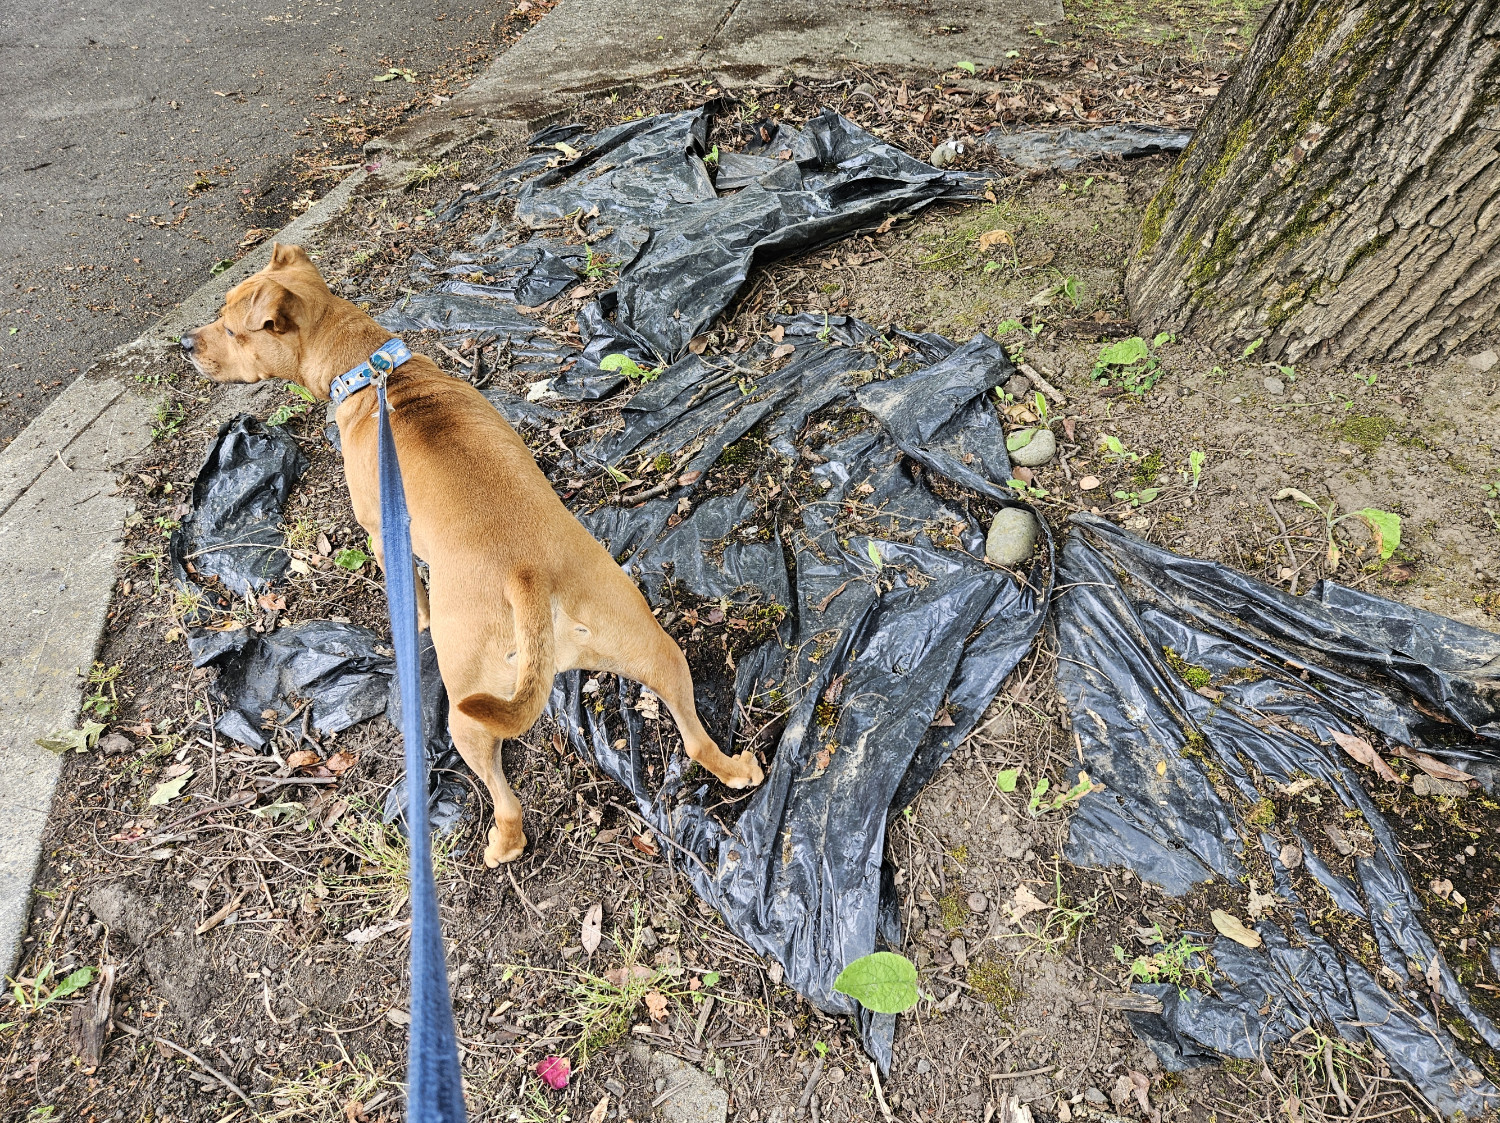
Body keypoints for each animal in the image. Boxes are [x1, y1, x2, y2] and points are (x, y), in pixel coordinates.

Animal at [184, 242, 762, 857]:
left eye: (230, 327)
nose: (186, 345)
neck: (370, 369)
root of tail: (526, 576)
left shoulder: (381, 534)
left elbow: (410, 594)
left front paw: (415, 621)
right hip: (651, 645)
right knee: (693, 735)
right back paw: (735, 769)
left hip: (467, 712)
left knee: (505, 797)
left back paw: (502, 841)